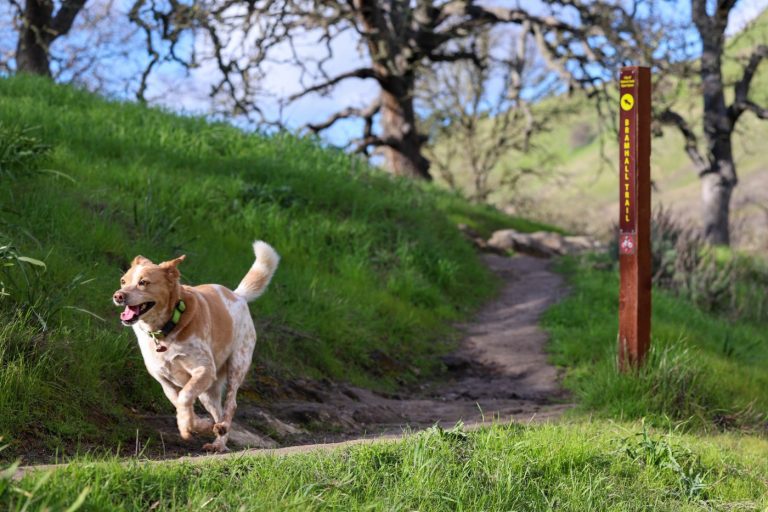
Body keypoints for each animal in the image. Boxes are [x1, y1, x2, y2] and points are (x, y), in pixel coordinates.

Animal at [112, 241, 280, 452]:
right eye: (123, 281)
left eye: (143, 282)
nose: (118, 296)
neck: (167, 328)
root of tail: (237, 295)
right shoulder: (165, 381)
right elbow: (179, 404)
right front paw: (197, 426)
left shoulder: (204, 369)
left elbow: (185, 397)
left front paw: (191, 426)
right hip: (208, 392)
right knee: (217, 411)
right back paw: (218, 441)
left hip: (237, 364)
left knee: (230, 404)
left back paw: (221, 431)